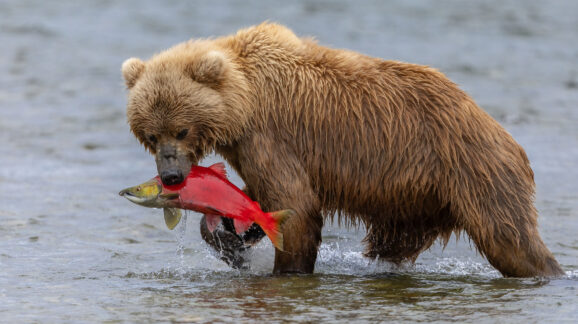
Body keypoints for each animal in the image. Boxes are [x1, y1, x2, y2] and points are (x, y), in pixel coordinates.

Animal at [120, 21, 564, 278]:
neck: (243, 102)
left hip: (474, 170)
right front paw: (230, 237)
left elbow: (295, 205)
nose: (171, 176)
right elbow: (260, 199)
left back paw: (549, 270)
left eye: (181, 128)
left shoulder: (270, 136)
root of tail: (500, 130)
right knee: (391, 246)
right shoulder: (249, 146)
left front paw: (287, 267)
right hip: (415, 202)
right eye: (150, 135)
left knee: (511, 240)